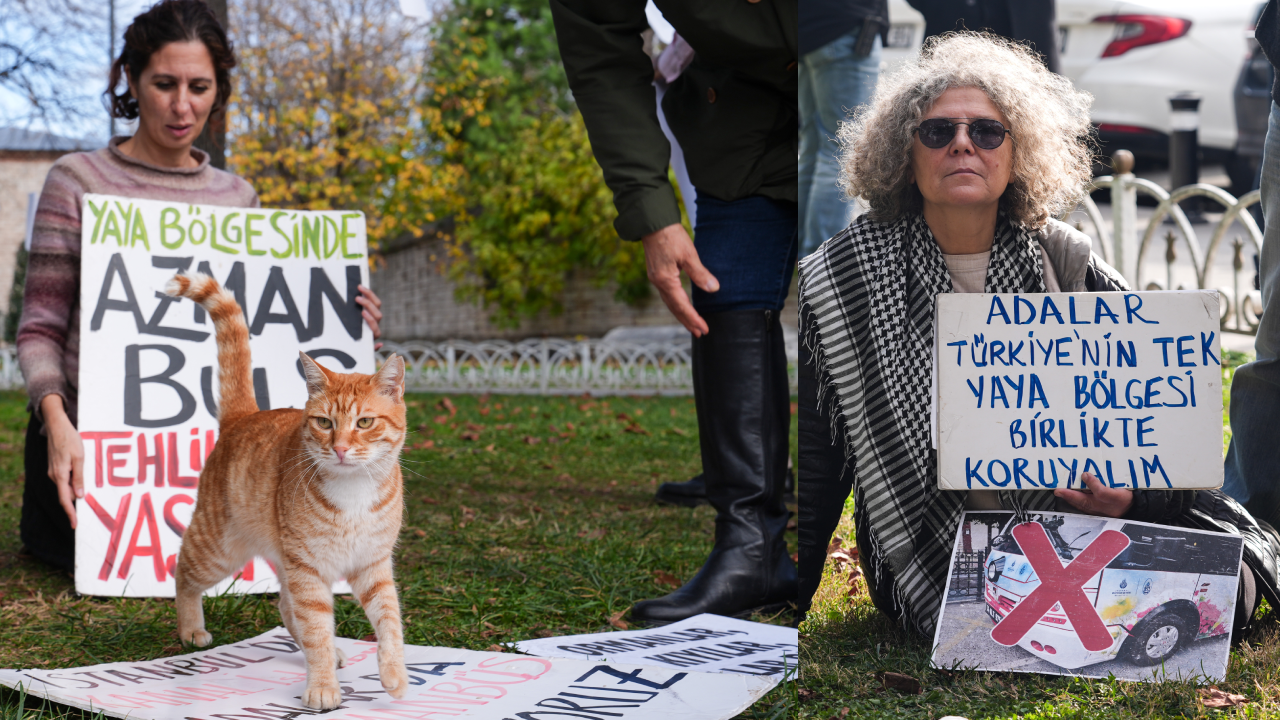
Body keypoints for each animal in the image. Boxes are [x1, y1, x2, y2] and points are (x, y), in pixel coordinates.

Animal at [163, 271, 404, 707]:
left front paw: (393, 674)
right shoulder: (309, 571)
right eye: (324, 423)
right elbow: (317, 628)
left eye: (364, 423)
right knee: (183, 571)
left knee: (285, 607)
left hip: (281, 559)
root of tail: (244, 415)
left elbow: (388, 621)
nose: (339, 448)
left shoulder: (372, 566)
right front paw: (323, 686)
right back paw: (191, 629)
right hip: (219, 549)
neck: (354, 491)